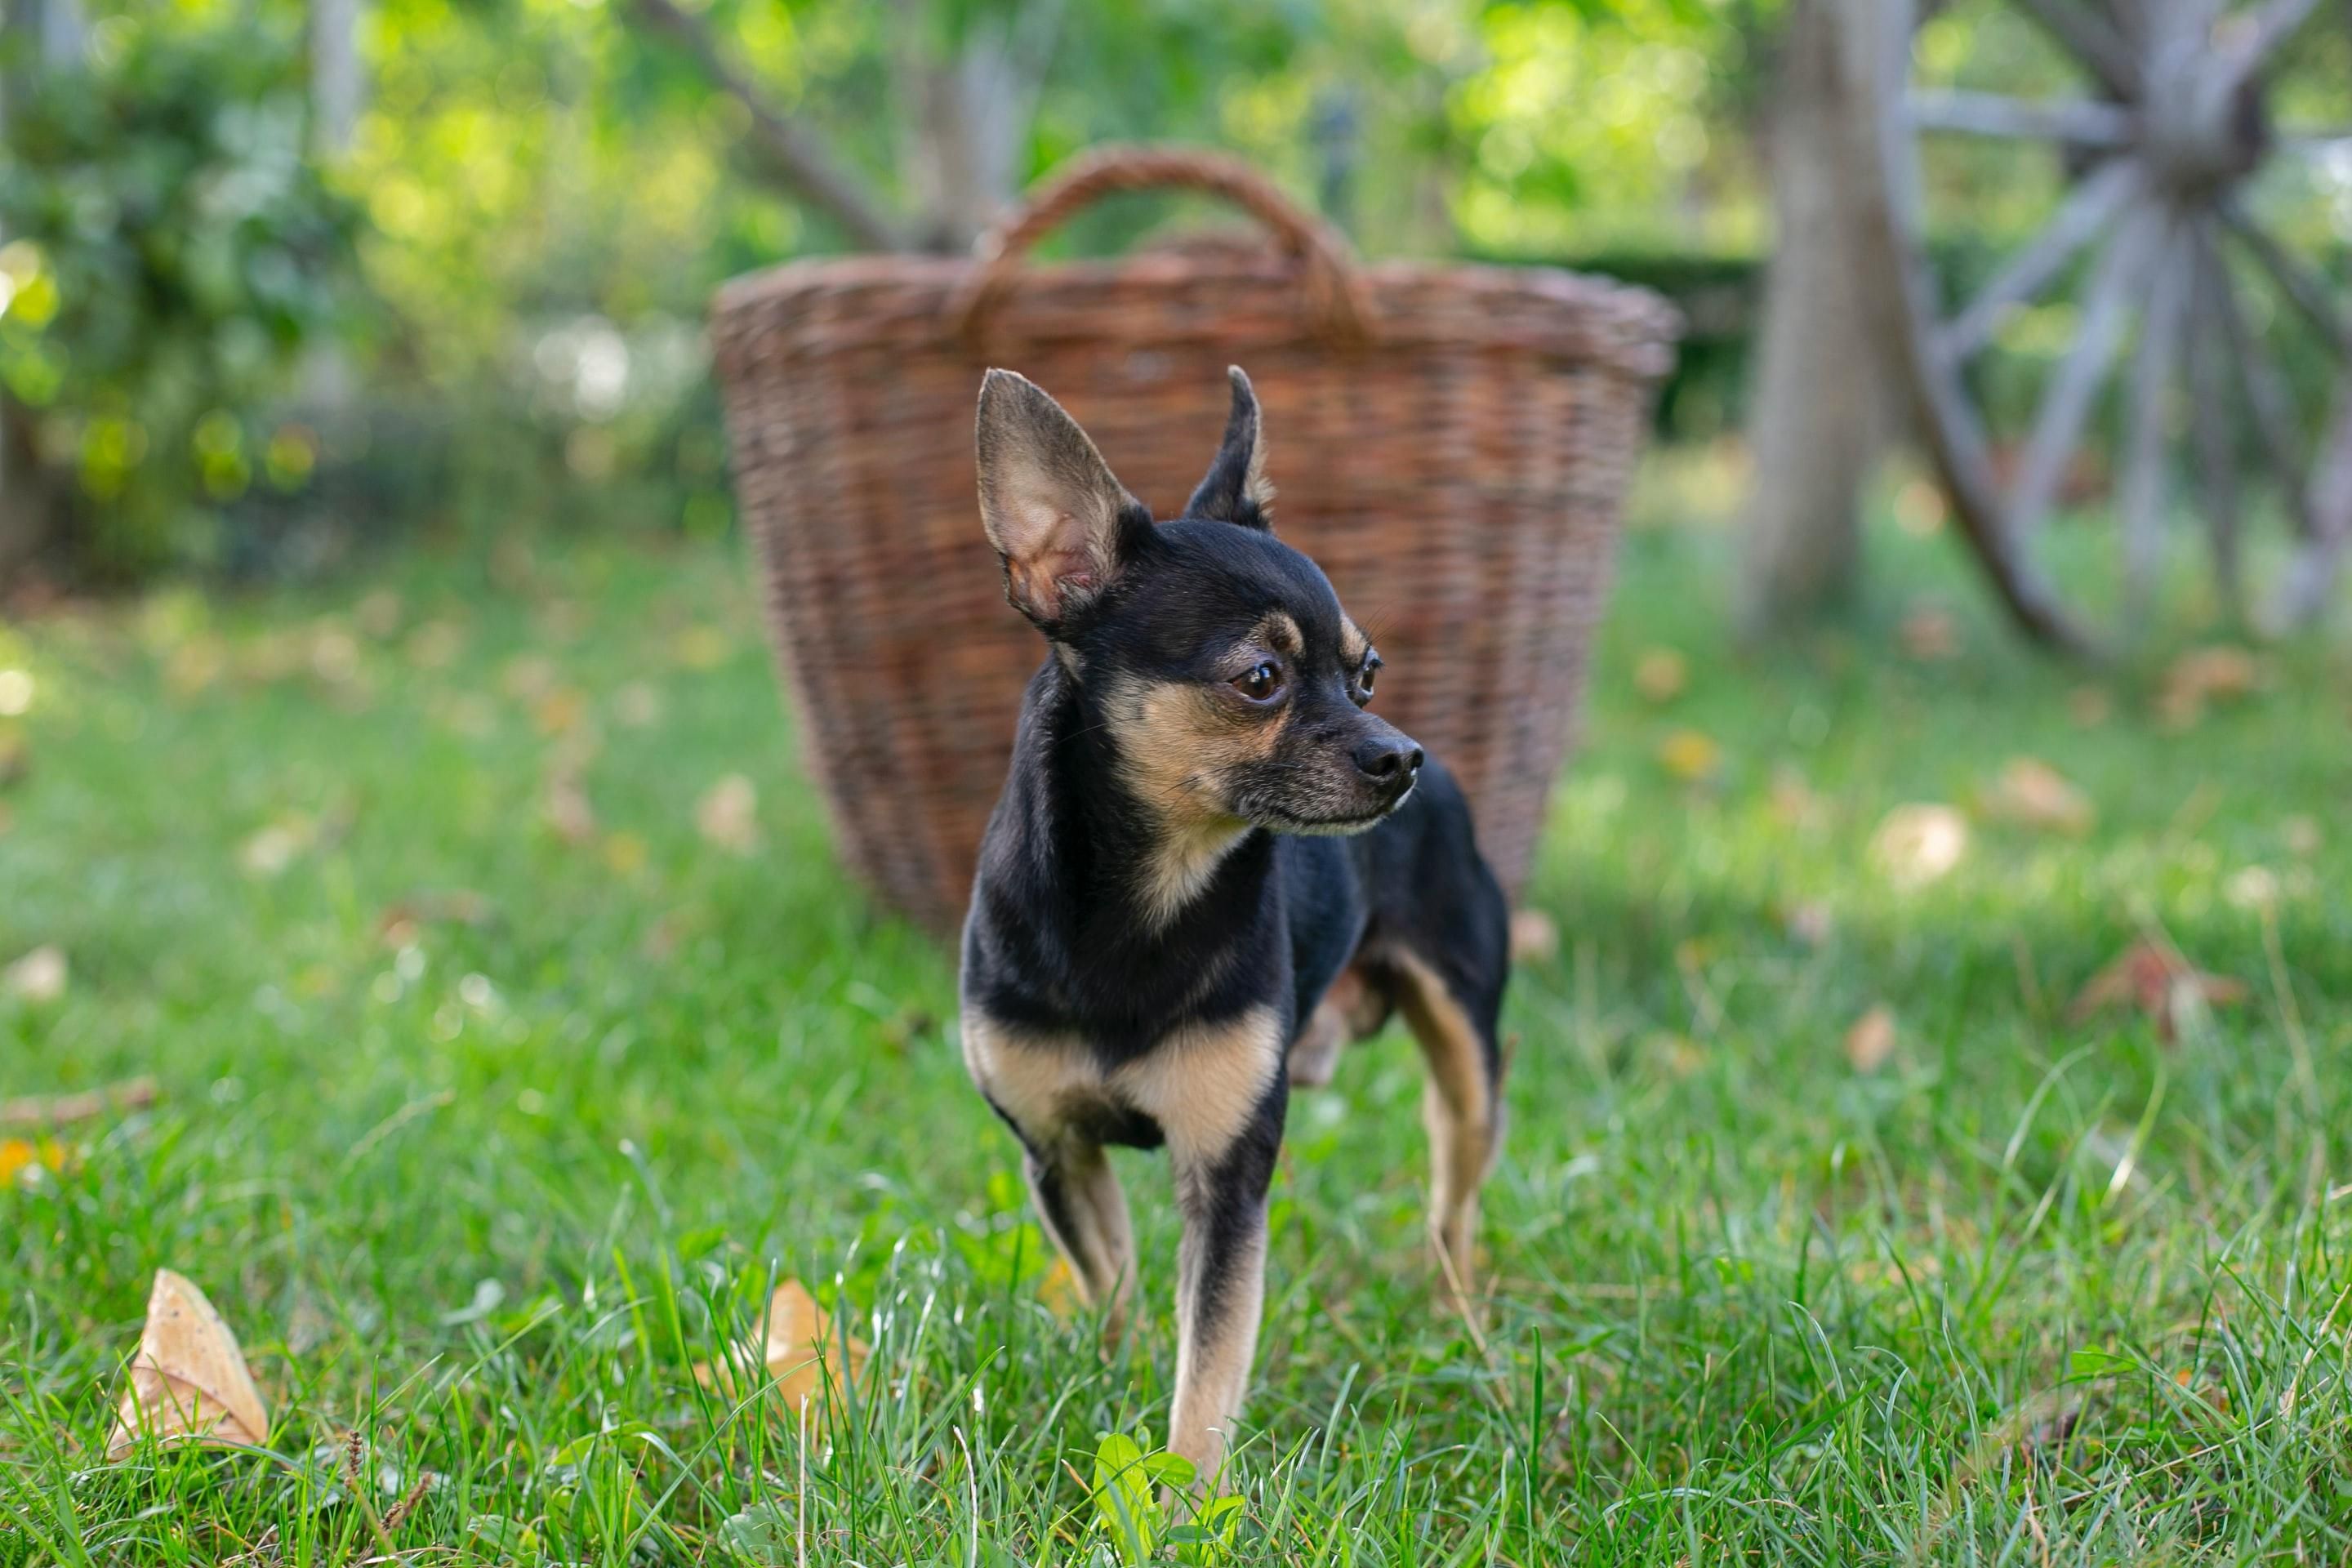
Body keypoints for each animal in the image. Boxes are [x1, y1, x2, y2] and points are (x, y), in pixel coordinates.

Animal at [964, 364, 1514, 1486]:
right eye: (1259, 679)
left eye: (1367, 672)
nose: (1402, 754)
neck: (1143, 900)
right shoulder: (1058, 1153)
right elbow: (1116, 1289)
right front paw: (1110, 1375)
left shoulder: (1227, 1181)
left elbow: (1209, 1372)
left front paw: (1184, 1498)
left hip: (1468, 1061)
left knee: (1455, 1206)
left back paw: (1464, 1331)